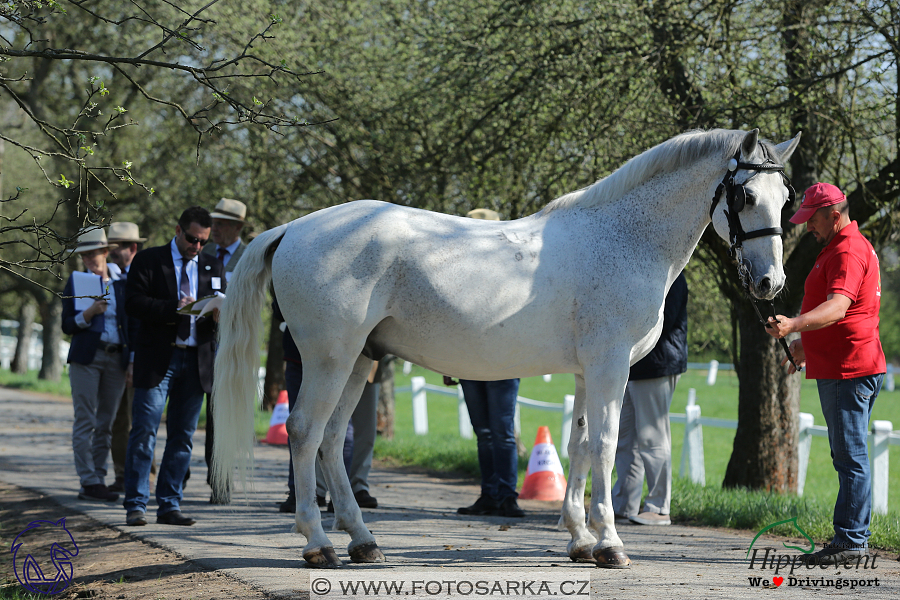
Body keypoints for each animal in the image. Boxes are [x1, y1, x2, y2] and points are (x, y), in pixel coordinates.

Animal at [213, 129, 800, 568]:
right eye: (746, 196)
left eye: (786, 201)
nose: (770, 282)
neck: (624, 237)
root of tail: (294, 228)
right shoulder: (609, 367)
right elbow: (607, 446)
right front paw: (610, 544)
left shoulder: (586, 372)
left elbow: (579, 445)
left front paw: (579, 540)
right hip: (329, 358)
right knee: (305, 433)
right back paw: (319, 544)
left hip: (360, 360)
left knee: (333, 440)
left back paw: (363, 541)